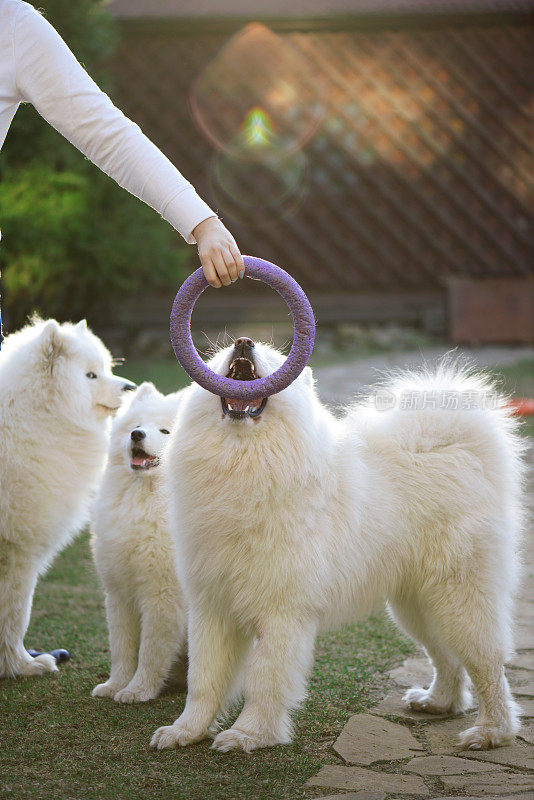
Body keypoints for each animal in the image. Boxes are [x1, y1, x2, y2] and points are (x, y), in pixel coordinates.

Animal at [0, 316, 136, 680]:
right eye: (90, 375)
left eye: (106, 368)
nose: (130, 387)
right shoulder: (18, 549)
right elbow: (15, 613)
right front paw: (22, 666)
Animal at [93, 382, 189, 700]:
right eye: (136, 426)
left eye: (165, 431)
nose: (137, 436)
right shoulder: (119, 594)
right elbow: (122, 649)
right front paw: (115, 685)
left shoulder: (162, 596)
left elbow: (150, 651)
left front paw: (138, 690)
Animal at [152, 340, 528, 756]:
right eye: (221, 353)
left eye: (276, 358)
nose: (244, 343)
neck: (242, 461)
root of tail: (460, 447)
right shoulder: (212, 608)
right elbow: (203, 681)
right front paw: (185, 731)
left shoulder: (282, 613)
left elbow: (264, 680)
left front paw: (249, 735)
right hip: (417, 605)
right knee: (446, 656)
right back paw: (438, 702)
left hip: (460, 598)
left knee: (488, 665)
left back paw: (492, 731)